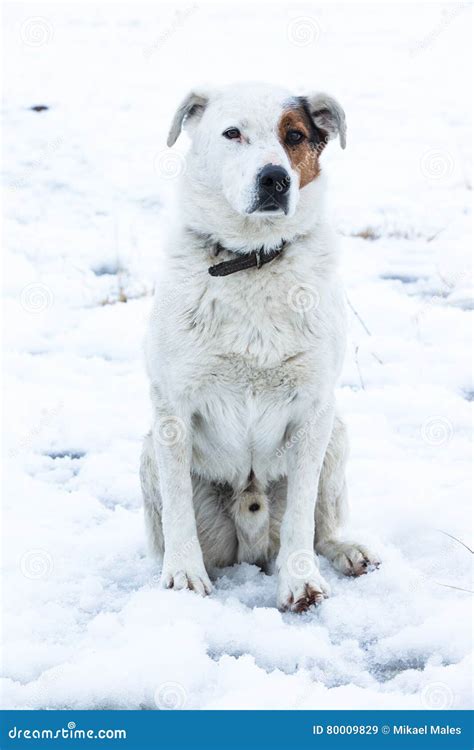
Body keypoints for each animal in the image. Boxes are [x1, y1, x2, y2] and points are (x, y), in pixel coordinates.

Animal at [139, 82, 380, 612]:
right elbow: (178, 508)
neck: (252, 260)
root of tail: (251, 540)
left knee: (321, 526)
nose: (275, 179)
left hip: (337, 435)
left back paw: (348, 550)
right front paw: (183, 578)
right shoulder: (172, 409)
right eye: (233, 133)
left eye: (294, 136)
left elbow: (302, 519)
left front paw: (301, 581)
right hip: (149, 453)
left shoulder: (314, 410)